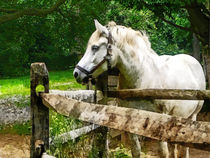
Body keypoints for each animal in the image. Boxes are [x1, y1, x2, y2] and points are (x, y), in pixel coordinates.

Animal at [73, 20, 205, 157]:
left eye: (95, 47)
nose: (76, 73)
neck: (144, 78)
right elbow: (136, 150)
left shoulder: (161, 120)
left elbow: (163, 152)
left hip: (193, 115)